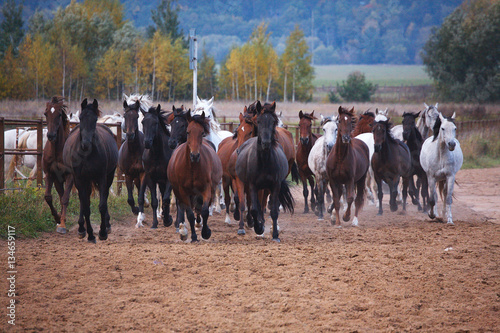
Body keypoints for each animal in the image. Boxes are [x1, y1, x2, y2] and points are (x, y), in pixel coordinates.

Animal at [63, 98, 118, 241]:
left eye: (95, 119)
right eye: (81, 118)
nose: (85, 144)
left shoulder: (102, 177)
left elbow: (102, 205)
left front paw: (103, 232)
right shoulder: (79, 178)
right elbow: (86, 206)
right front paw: (90, 234)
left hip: (109, 176)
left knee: (104, 195)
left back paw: (106, 225)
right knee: (83, 200)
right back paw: (81, 228)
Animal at [167, 111, 222, 241]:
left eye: (202, 133)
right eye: (188, 131)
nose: (195, 155)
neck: (192, 167)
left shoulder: (206, 189)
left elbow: (205, 210)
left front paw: (206, 232)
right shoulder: (183, 191)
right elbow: (189, 214)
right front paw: (192, 235)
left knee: (200, 207)